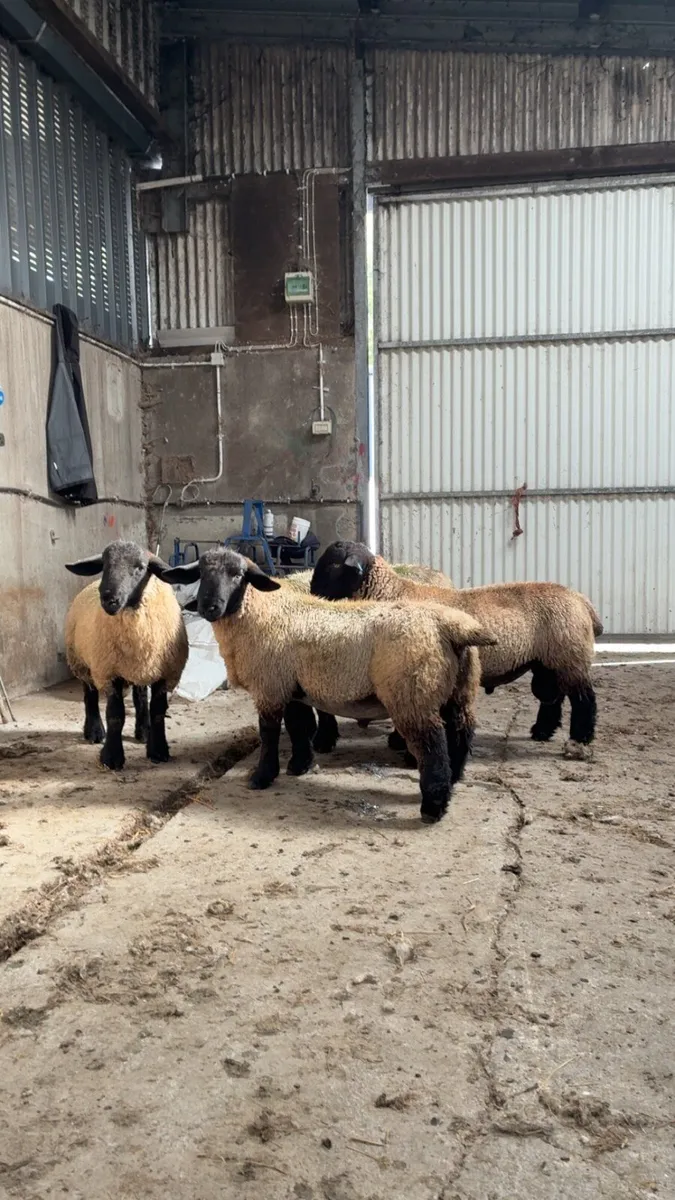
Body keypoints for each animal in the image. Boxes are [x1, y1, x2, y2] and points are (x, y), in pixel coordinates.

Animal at [64, 542, 189, 771]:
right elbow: (115, 715)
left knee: (140, 695)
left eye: (140, 567)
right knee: (90, 695)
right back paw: (94, 731)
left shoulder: (164, 672)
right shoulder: (109, 671)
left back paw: (144, 730)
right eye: (104, 565)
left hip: (140, 667)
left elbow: (158, 711)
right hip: (82, 661)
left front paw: (158, 750)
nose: (109, 599)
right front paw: (112, 757)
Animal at [154, 547, 496, 824]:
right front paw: (299, 765)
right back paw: (454, 779)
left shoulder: (270, 685)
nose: (209, 607)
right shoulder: (291, 686)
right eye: (202, 574)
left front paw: (263, 776)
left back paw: (433, 806)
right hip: (458, 690)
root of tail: (451, 627)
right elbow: (298, 726)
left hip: (412, 693)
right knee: (461, 730)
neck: (261, 613)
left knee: (432, 746)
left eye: (238, 574)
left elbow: (269, 733)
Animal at [310, 540, 603, 755]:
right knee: (552, 696)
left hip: (570, 654)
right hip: (548, 660)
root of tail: (581, 600)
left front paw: (399, 743)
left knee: (583, 698)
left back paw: (580, 739)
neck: (390, 592)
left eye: (332, 564)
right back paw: (542, 731)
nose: (312, 595)